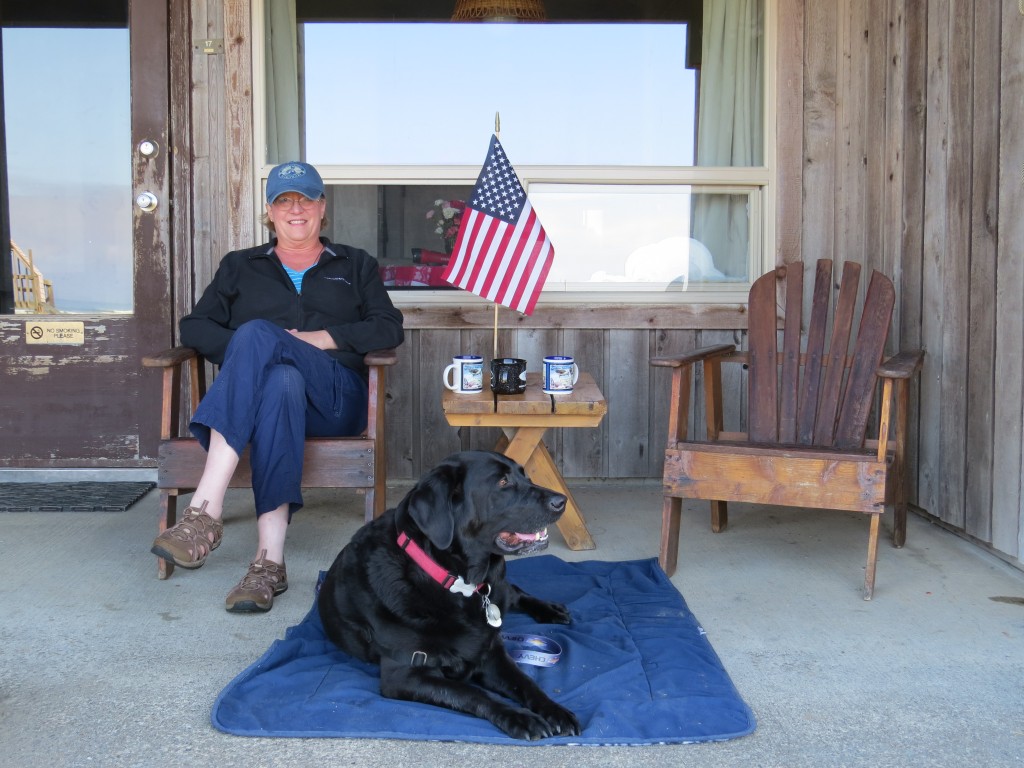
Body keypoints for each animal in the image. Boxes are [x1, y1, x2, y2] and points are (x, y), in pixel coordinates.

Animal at [315, 450, 581, 741]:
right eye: (503, 482)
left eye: (526, 476)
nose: (562, 501)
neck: (454, 583)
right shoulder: (404, 674)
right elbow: (472, 693)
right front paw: (521, 718)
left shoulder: (491, 651)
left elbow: (525, 681)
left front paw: (553, 709)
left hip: (500, 588)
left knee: (514, 593)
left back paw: (550, 610)